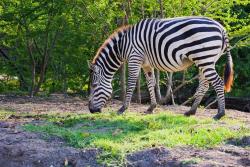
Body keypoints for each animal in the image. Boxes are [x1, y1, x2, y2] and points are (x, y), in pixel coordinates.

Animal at [89, 16, 233, 119]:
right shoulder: (146, 64)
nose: (91, 110)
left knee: (218, 83)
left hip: (204, 58)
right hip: (205, 60)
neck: (123, 46)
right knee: (204, 85)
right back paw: (191, 111)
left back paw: (220, 114)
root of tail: (221, 28)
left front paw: (123, 108)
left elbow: (131, 83)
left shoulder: (134, 58)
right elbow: (150, 83)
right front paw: (151, 107)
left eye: (94, 86)